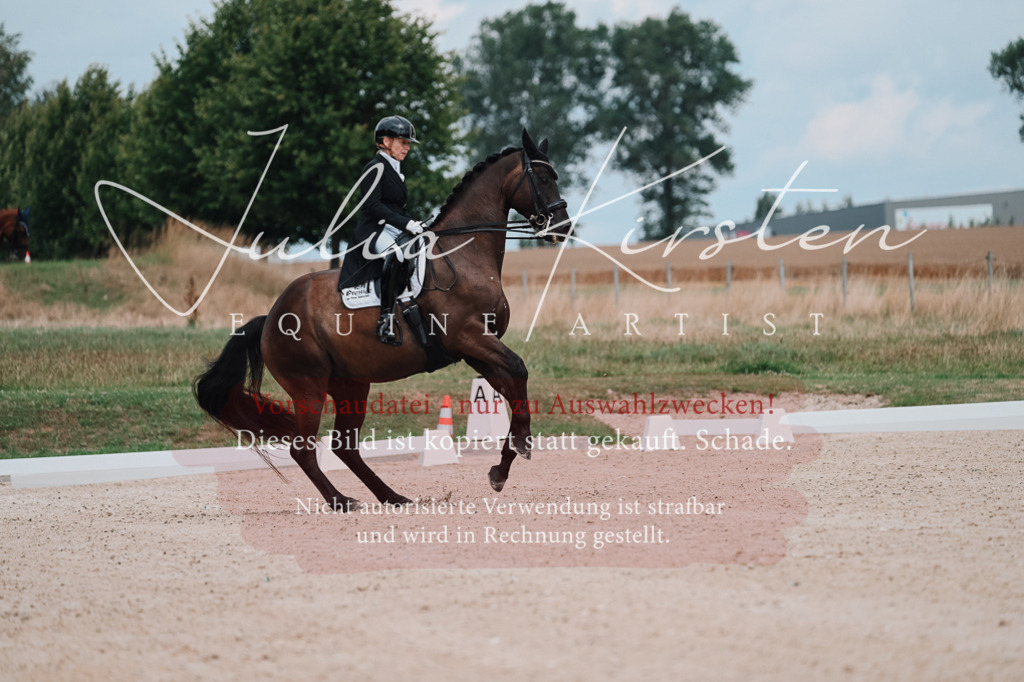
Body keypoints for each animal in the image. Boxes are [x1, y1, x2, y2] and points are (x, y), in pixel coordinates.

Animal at [194, 129, 573, 511]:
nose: (564, 227)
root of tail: (270, 318)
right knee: (303, 449)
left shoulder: (476, 349)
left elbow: (512, 389)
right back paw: (341, 500)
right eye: (543, 179)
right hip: (308, 387)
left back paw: (391, 496)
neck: (463, 255)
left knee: (344, 446)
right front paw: (520, 447)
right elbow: (519, 370)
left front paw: (501, 468)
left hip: (350, 385)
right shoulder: (469, 338)